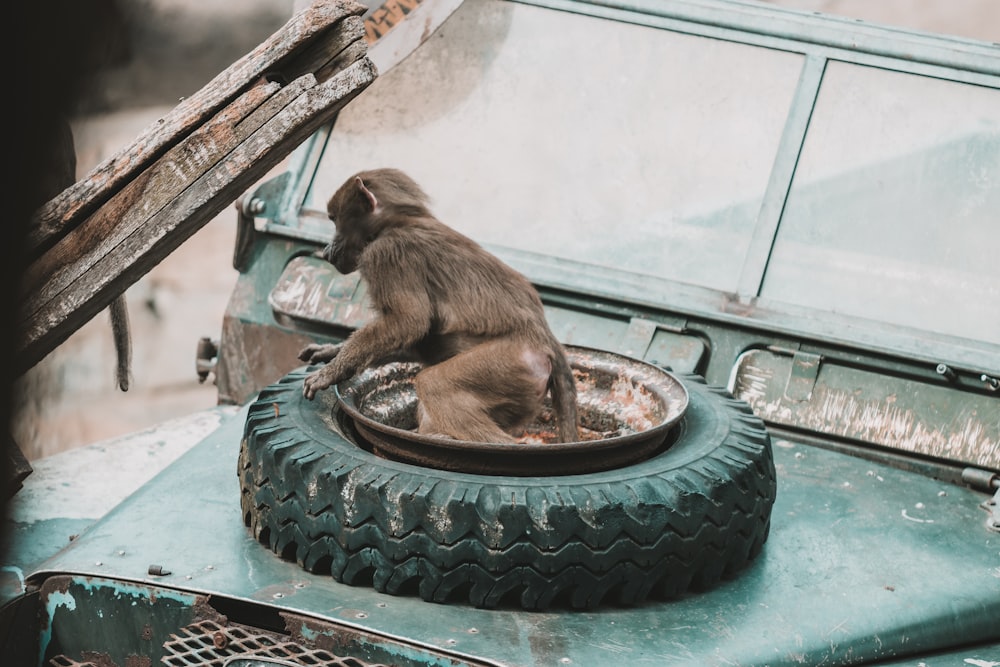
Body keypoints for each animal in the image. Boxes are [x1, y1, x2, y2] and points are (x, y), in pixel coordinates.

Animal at [296, 170, 580, 446]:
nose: (326, 251)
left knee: (434, 384)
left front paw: (330, 372)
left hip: (511, 362)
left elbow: (408, 322)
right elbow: (418, 338)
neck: (399, 222)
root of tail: (546, 340)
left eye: (334, 221)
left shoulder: (387, 254)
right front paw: (330, 352)